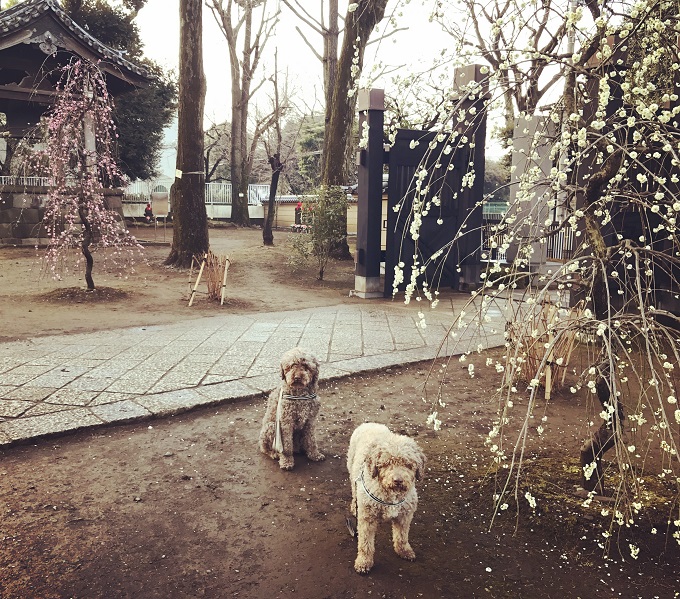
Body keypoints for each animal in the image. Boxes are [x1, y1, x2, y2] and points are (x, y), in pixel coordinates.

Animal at [348, 424, 422, 576]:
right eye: (387, 463)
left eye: (408, 465)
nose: (398, 480)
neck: (391, 495)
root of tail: (370, 423)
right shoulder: (367, 519)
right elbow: (365, 544)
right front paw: (364, 562)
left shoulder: (405, 516)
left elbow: (402, 537)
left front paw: (404, 551)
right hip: (352, 472)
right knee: (353, 491)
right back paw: (353, 506)